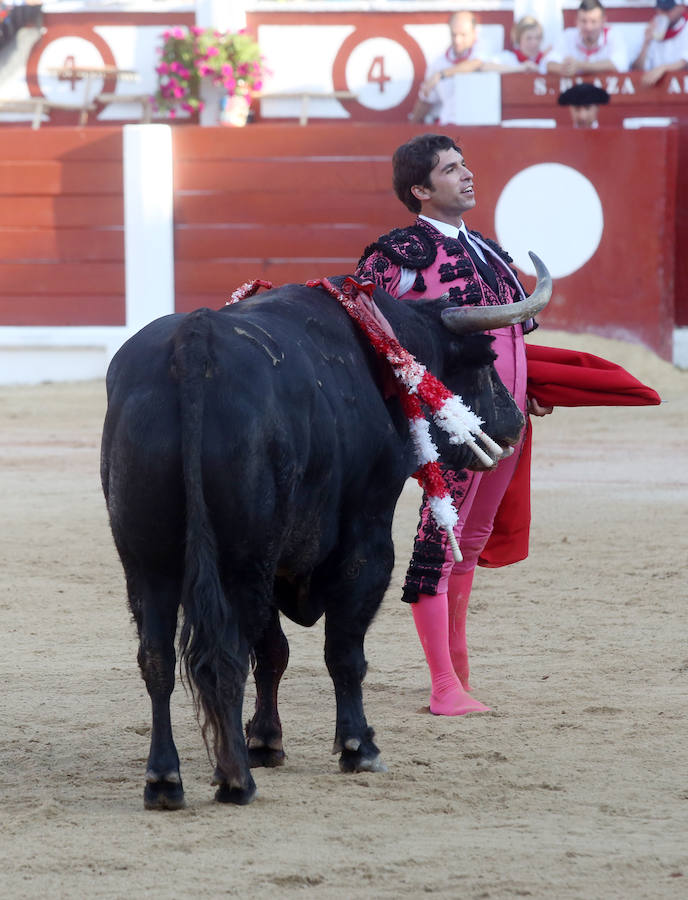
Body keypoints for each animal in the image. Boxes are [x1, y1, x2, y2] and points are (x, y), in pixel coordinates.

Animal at [99, 276, 536, 808]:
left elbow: (274, 652)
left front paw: (265, 740)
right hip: (240, 558)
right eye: (486, 360)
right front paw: (358, 746)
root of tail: (192, 342)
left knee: (158, 656)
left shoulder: (273, 563)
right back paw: (234, 779)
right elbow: (343, 650)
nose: (515, 422)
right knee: (226, 653)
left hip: (146, 560)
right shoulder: (367, 539)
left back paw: (164, 779)